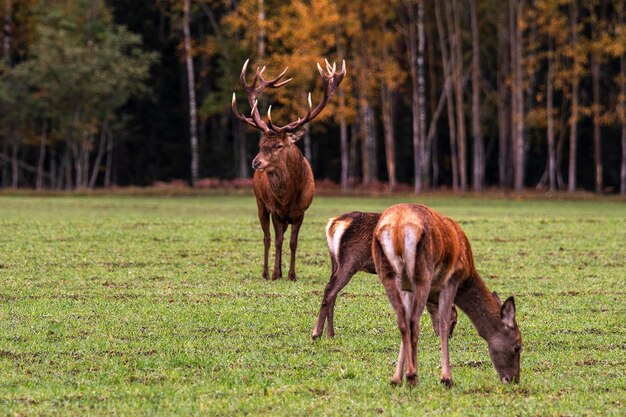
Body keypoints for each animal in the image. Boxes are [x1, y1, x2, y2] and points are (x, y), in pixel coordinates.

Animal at [232, 58, 346, 280]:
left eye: (278, 145)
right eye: (260, 144)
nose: (256, 163)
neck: (289, 197)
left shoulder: (301, 211)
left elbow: (293, 242)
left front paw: (292, 274)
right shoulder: (276, 210)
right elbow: (277, 241)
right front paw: (276, 273)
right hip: (260, 202)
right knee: (267, 238)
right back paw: (266, 272)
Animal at [310, 211, 456, 338]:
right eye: (454, 318)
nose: (448, 336)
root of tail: (334, 223)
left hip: (334, 261)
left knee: (332, 293)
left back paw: (330, 334)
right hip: (351, 259)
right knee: (330, 289)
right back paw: (316, 333)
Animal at [370, 203, 516, 386]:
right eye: (517, 346)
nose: (513, 379)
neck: (467, 275)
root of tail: (397, 227)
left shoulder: (407, 288)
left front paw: (396, 379)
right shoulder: (452, 280)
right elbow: (444, 322)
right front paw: (447, 378)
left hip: (387, 274)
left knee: (403, 321)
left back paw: (403, 377)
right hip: (423, 274)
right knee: (414, 322)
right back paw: (413, 377)